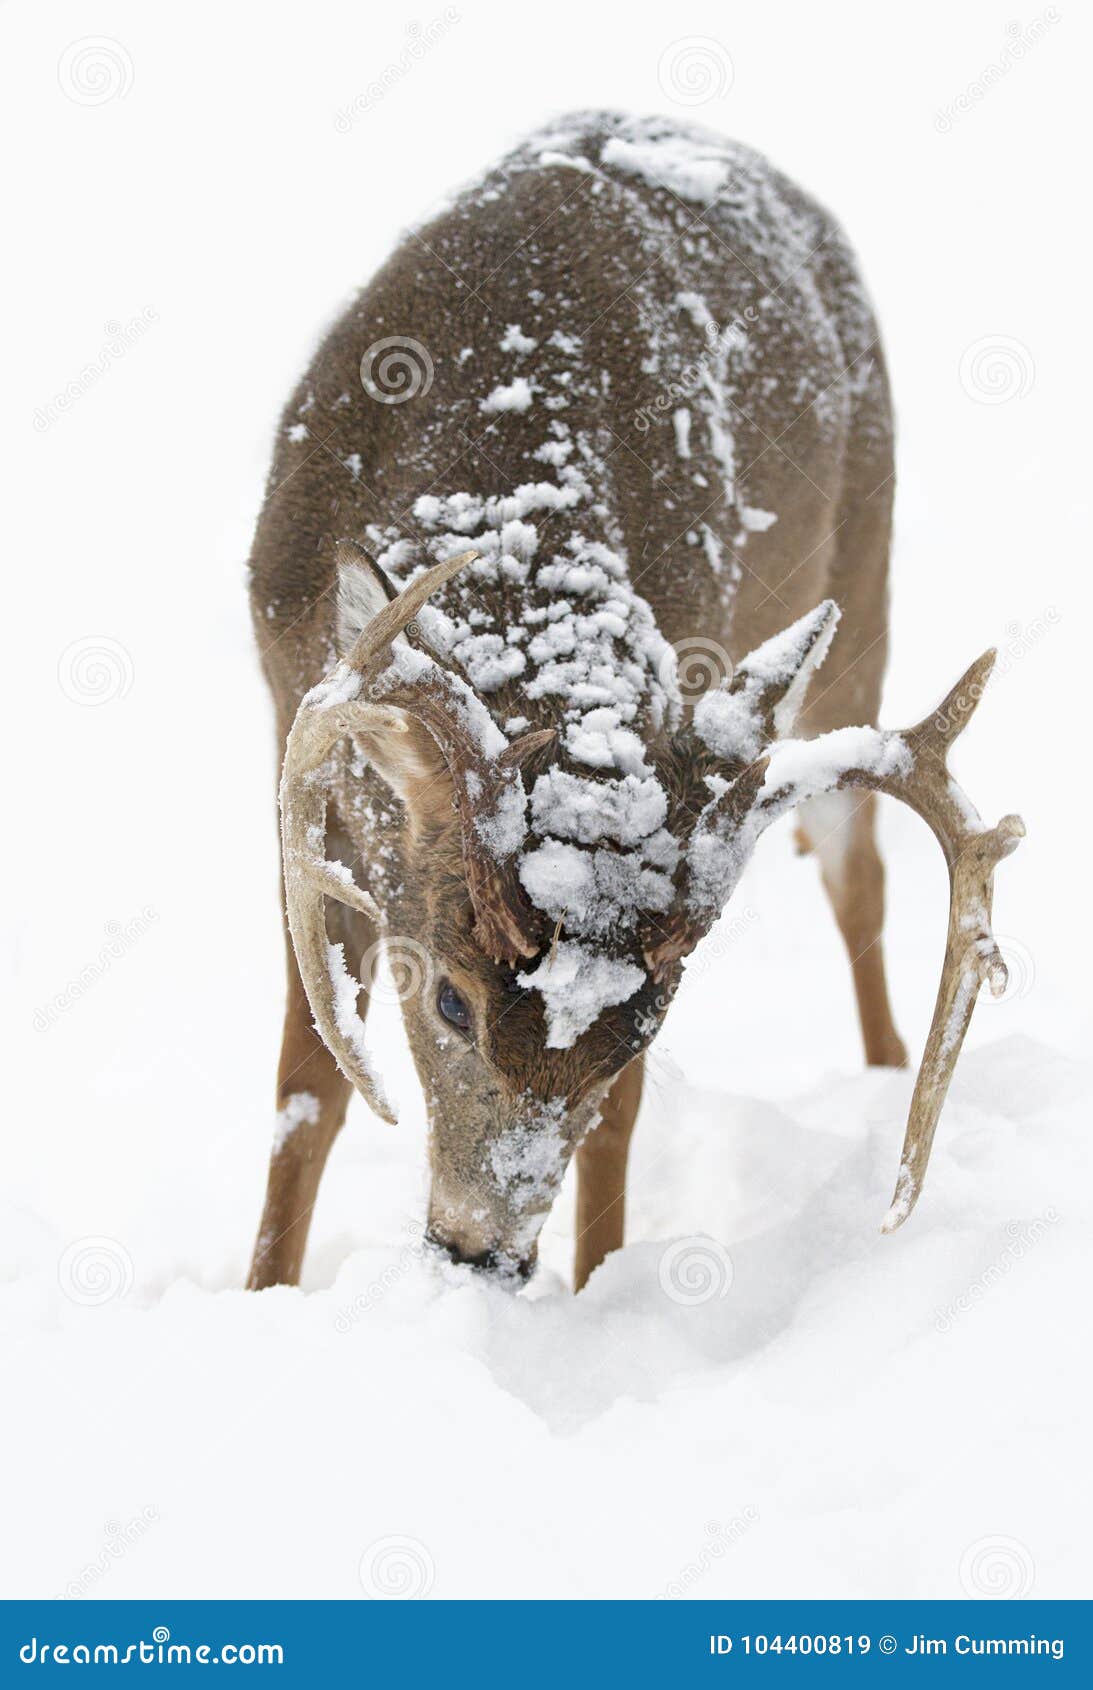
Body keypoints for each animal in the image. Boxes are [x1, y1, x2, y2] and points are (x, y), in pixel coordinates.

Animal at [245, 112, 1022, 1293]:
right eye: (451, 998)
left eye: (642, 1033)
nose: (480, 1252)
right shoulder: (302, 734)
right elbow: (307, 1089)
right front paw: (260, 1289)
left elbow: (618, 1130)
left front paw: (597, 1287)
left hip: (865, 574)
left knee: (859, 880)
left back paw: (886, 1083)